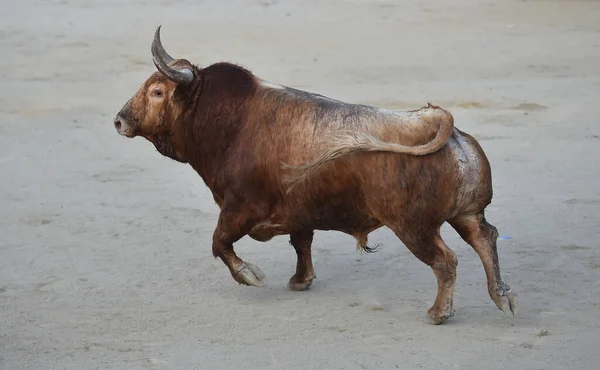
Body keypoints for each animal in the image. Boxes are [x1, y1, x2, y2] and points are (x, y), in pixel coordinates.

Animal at [113, 26, 516, 324]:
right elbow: (301, 242)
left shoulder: (239, 208)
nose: (119, 120)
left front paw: (250, 275)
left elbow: (219, 242)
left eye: (157, 91)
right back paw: (502, 296)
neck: (227, 121)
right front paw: (299, 280)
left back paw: (438, 312)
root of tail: (437, 122)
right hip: (466, 213)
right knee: (485, 238)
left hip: (412, 226)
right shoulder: (298, 211)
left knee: (446, 261)